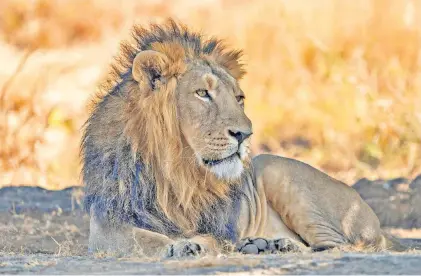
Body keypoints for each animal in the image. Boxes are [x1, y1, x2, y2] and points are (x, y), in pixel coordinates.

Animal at [80, 18, 408, 256]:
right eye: (202, 93)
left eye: (238, 98)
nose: (245, 134)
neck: (175, 171)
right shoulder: (107, 224)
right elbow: (140, 239)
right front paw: (178, 245)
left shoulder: (217, 226)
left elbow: (208, 238)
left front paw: (194, 245)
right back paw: (262, 245)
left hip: (278, 170)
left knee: (338, 247)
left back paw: (276, 246)